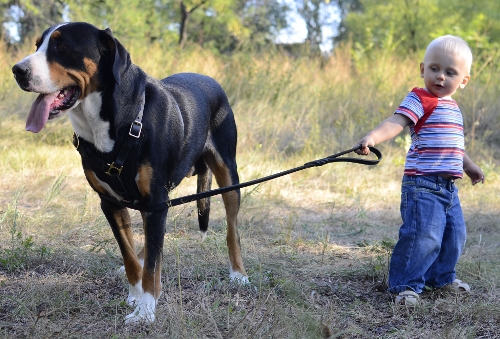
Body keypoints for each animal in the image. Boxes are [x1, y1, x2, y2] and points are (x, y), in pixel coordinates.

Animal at [14, 22, 249, 326]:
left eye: (61, 46)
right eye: (37, 46)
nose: (17, 70)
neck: (117, 125)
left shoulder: (156, 201)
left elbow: (153, 265)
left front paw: (146, 310)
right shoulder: (112, 203)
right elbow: (131, 257)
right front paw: (137, 295)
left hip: (228, 175)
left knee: (232, 229)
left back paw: (238, 275)